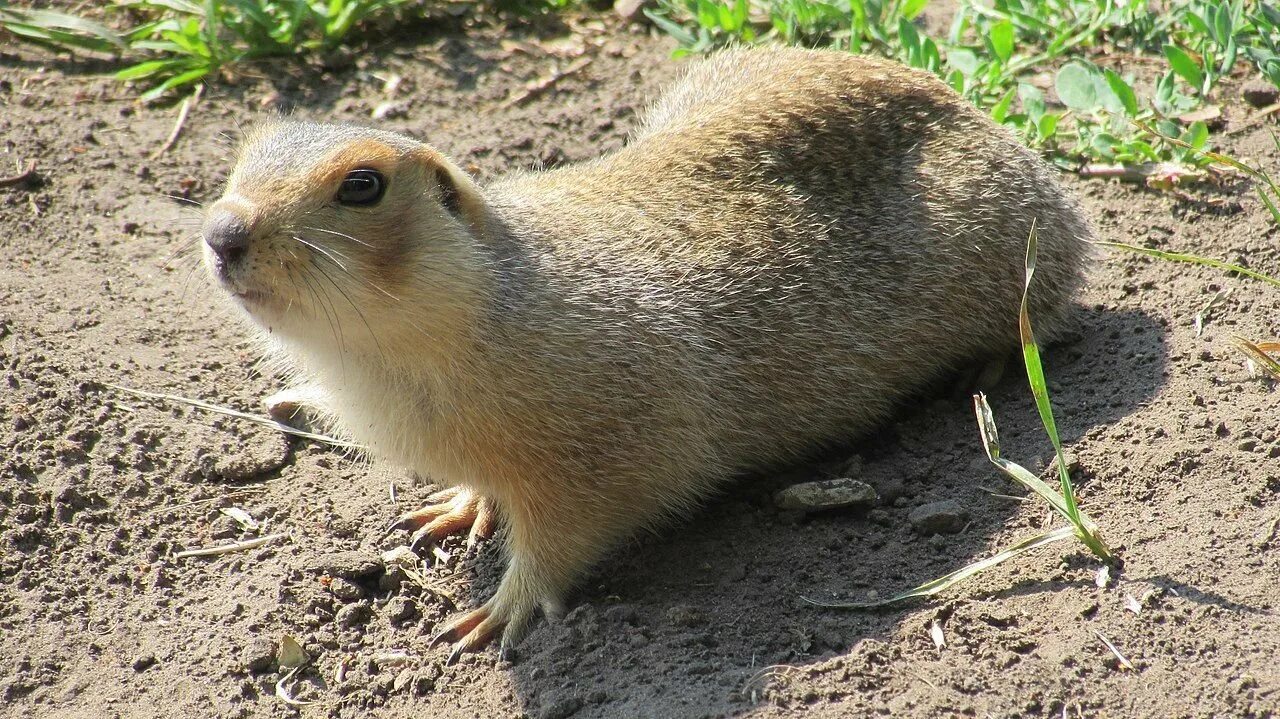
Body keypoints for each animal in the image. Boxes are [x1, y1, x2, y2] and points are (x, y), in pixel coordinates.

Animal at [199, 47, 1090, 660]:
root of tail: (971, 109)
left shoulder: (604, 433)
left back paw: (988, 364)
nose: (220, 231)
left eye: (363, 185)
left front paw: (499, 609)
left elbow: (575, 524)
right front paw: (461, 505)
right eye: (241, 154)